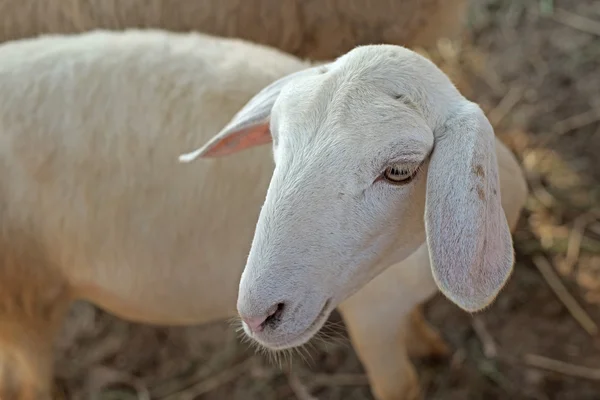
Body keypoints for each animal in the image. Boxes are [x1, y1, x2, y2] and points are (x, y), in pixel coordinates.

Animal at [0, 30, 524, 400]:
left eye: (399, 171)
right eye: (274, 138)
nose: (258, 314)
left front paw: (432, 345)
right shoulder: (372, 314)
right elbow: (400, 386)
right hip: (23, 302)